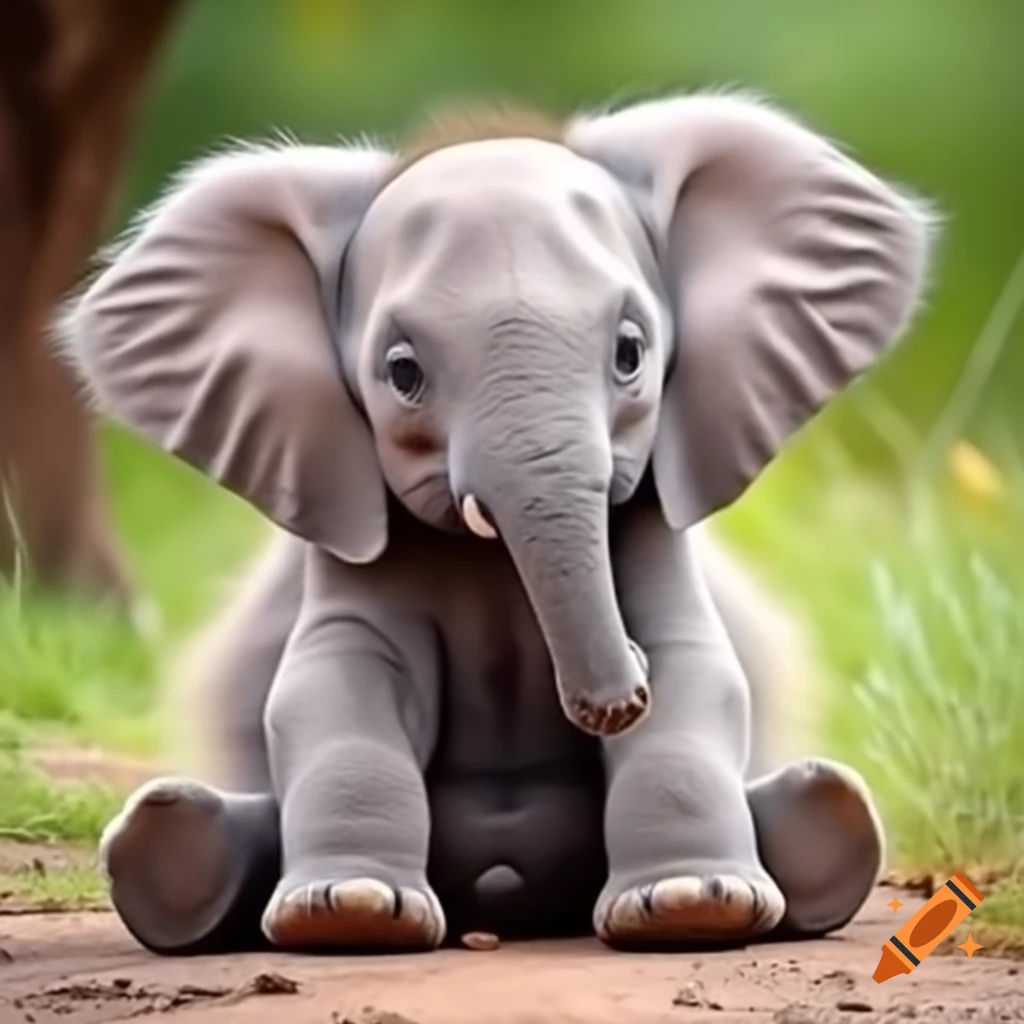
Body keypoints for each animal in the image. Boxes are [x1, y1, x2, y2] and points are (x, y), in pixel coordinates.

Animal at [66, 91, 933, 954]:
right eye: (402, 373)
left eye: (630, 353)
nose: (619, 695)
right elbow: (337, 683)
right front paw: (349, 912)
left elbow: (695, 669)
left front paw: (695, 903)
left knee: (829, 802)